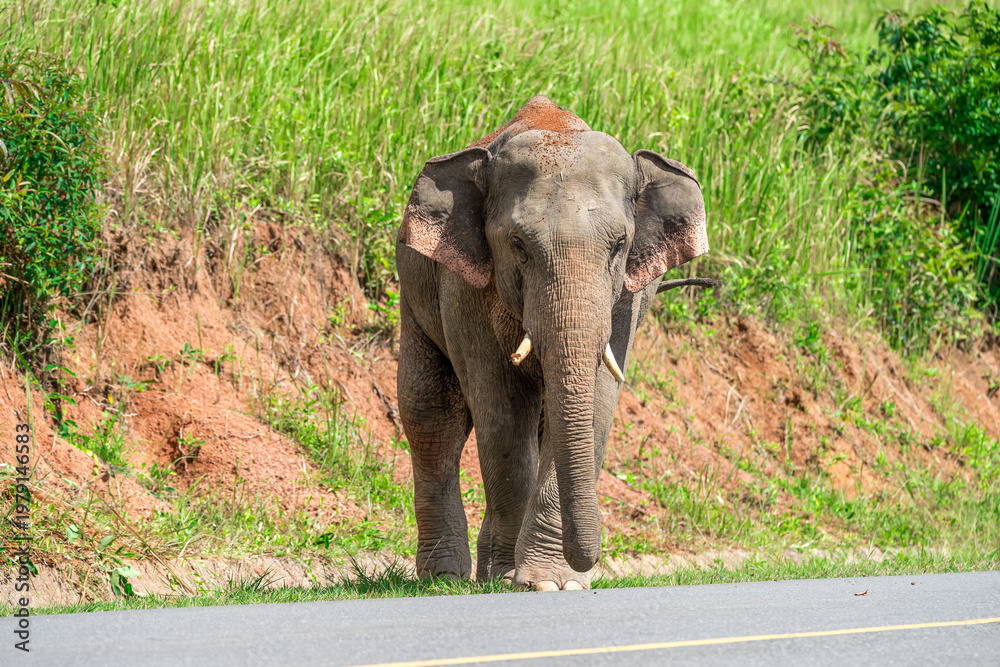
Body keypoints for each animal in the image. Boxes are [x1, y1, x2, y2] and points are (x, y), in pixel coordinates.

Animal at [395, 95, 708, 590]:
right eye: (518, 244)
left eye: (619, 245)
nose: (589, 560)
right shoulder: (463, 286)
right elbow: (501, 411)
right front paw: (514, 577)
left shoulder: (627, 298)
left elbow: (597, 403)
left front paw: (553, 582)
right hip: (414, 295)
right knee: (431, 416)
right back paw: (445, 577)